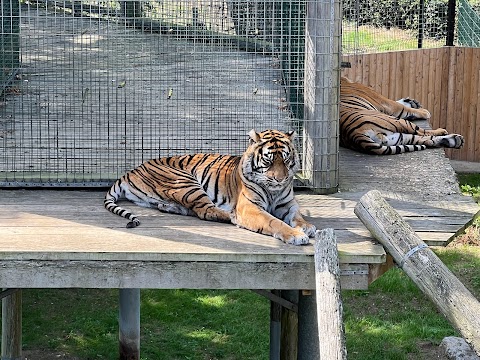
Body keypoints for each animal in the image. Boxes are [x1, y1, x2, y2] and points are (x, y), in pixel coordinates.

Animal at [104, 129, 316, 245]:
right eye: (268, 160)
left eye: (286, 159)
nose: (281, 179)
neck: (274, 191)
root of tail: (131, 170)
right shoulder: (249, 207)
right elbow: (274, 222)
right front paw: (296, 235)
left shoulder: (288, 204)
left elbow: (297, 216)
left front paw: (307, 227)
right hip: (186, 182)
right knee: (205, 210)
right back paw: (230, 216)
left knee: (191, 209)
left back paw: (169, 207)